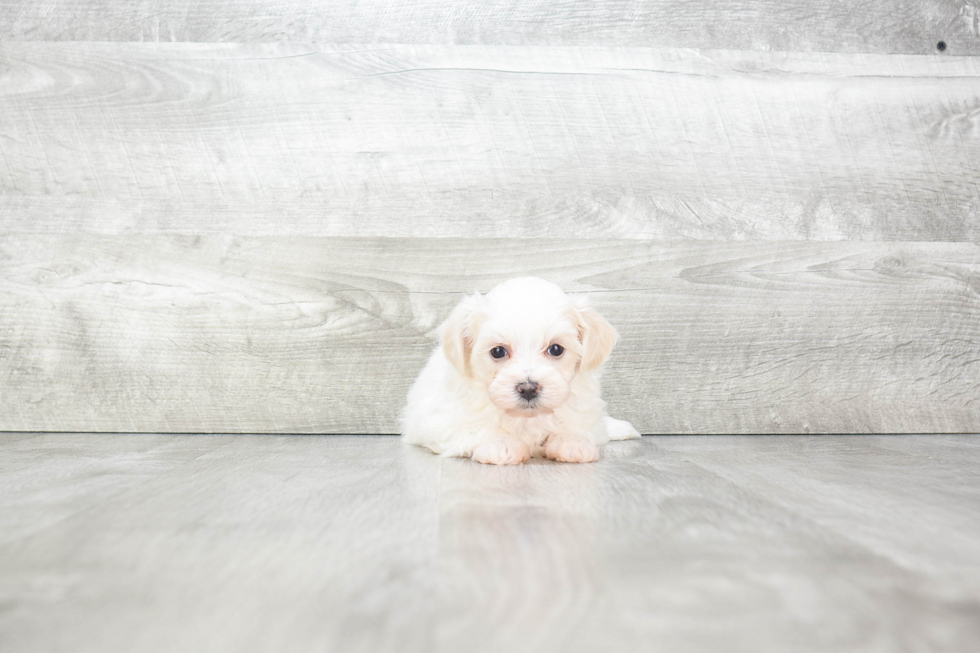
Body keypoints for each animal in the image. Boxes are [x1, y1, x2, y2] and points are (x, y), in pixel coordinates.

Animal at [400, 276, 640, 464]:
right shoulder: (438, 421)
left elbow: (579, 424)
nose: (528, 388)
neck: (526, 418)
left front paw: (573, 441)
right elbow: (474, 428)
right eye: (498, 351)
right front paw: (500, 444)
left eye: (556, 349)